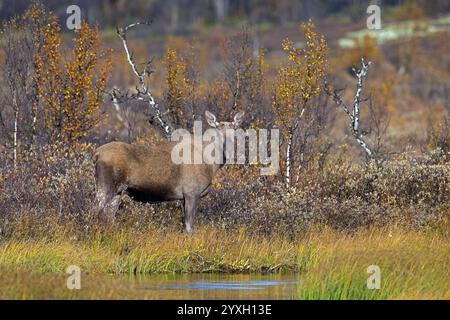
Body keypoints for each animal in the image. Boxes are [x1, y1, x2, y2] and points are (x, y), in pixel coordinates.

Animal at [92, 110, 244, 232]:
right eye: (219, 133)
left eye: (235, 132)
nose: (229, 148)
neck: (211, 165)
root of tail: (96, 154)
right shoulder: (191, 192)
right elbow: (189, 226)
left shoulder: (185, 197)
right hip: (106, 186)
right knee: (95, 211)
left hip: (118, 191)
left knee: (108, 216)